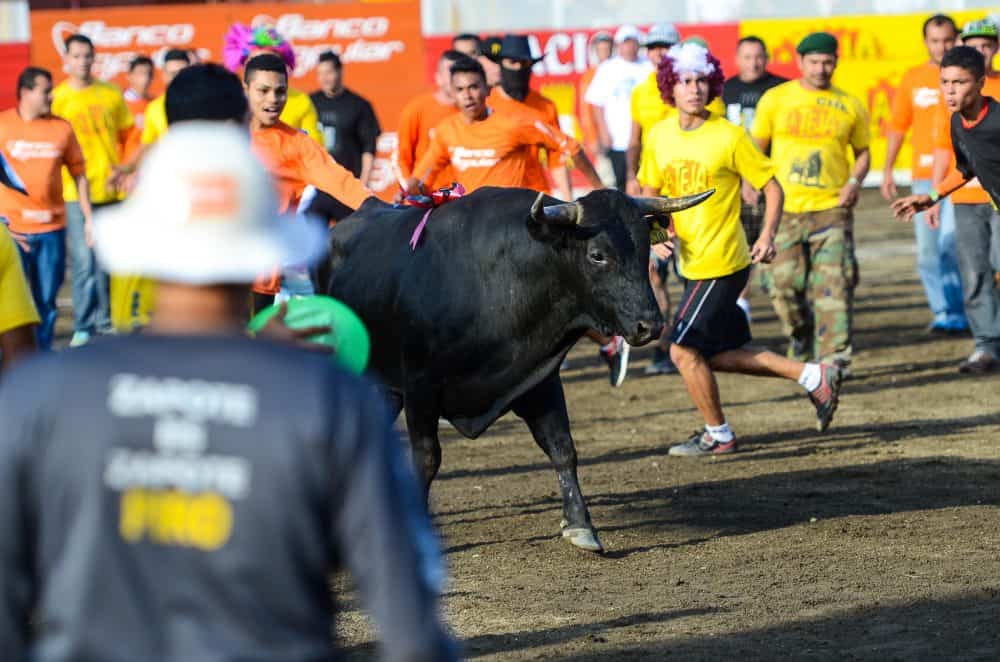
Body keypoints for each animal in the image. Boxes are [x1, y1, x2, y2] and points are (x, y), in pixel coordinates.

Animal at [324, 188, 716, 556]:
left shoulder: (539, 380)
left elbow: (562, 448)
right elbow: (426, 458)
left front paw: (580, 525)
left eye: (645, 249)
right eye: (597, 254)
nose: (650, 325)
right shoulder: (421, 387)